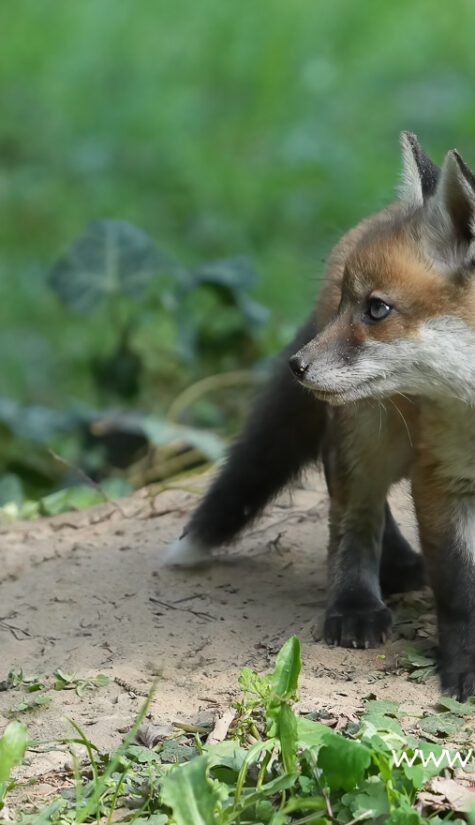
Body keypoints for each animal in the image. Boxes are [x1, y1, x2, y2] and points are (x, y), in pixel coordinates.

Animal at [167, 132, 475, 701]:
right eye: (353, 306)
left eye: (376, 309)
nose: (296, 365)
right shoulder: (442, 478)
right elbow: (460, 592)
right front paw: (465, 668)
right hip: (370, 434)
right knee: (354, 518)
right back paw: (357, 602)